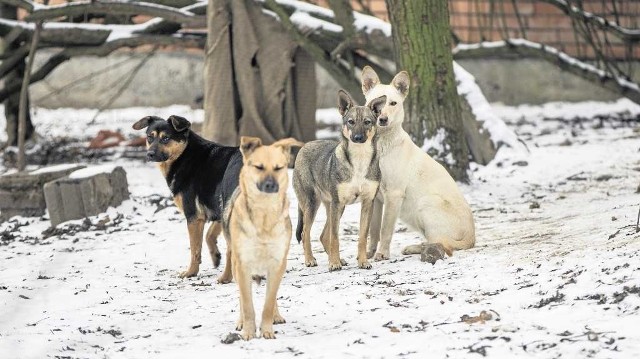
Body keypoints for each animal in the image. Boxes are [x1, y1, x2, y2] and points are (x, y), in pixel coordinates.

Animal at [132, 115, 240, 284]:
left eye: (166, 138)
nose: (149, 154)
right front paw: (215, 256)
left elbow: (195, 249)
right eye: (150, 137)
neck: (185, 154)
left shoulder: (193, 216)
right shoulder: (217, 210)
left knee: (231, 248)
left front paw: (191, 272)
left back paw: (225, 277)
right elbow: (209, 235)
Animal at [224, 136, 304, 342]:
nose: (271, 185)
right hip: (236, 265)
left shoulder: (277, 263)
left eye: (278, 168)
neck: (264, 216)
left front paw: (267, 329)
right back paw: (241, 322)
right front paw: (248, 332)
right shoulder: (243, 265)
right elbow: (246, 303)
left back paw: (276, 316)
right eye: (259, 167)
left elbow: (269, 302)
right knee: (241, 296)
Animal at [294, 91, 388, 272]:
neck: (359, 160)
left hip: (334, 207)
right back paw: (310, 260)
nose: (358, 137)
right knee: (305, 233)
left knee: (323, 235)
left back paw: (338, 259)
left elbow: (362, 237)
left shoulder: (367, 203)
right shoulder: (337, 203)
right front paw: (334, 264)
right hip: (313, 205)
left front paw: (363, 262)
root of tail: (305, 145)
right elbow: (335, 237)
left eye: (367, 122)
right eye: (351, 122)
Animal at [360, 66, 476, 262]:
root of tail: (472, 238)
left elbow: (385, 230)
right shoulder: (374, 198)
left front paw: (382, 253)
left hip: (426, 203)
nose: (382, 119)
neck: (381, 144)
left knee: (442, 243)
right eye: (374, 104)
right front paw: (369, 253)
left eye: (393, 103)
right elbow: (373, 231)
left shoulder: (394, 195)